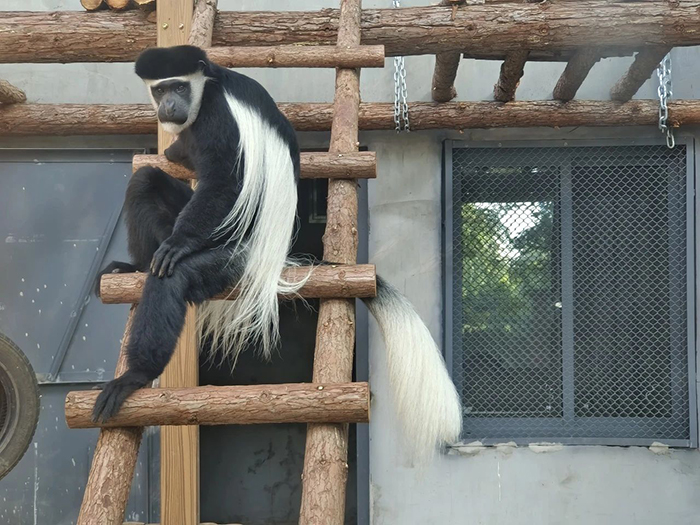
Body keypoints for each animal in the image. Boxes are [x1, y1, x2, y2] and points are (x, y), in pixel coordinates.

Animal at [93, 45, 461, 462]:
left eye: (179, 86)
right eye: (160, 90)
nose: (169, 105)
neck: (209, 87)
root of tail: (275, 256)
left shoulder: (217, 116)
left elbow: (224, 179)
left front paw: (178, 243)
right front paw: (171, 152)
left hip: (232, 256)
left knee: (176, 276)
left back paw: (135, 374)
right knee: (145, 182)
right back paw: (134, 266)